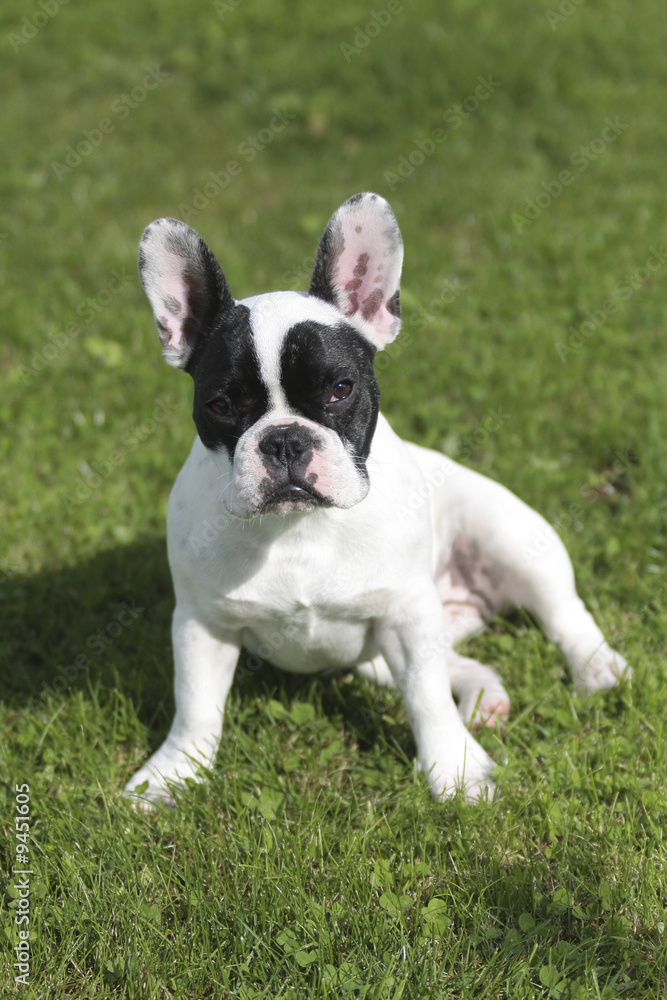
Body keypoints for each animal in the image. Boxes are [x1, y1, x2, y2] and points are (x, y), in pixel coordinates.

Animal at [124, 193, 628, 804]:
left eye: (340, 390)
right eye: (221, 405)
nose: (285, 439)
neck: (299, 528)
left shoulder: (405, 617)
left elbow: (428, 701)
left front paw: (454, 773)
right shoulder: (204, 624)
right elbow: (195, 706)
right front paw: (173, 774)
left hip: (511, 538)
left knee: (562, 614)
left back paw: (596, 669)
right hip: (387, 653)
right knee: (457, 664)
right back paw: (485, 700)